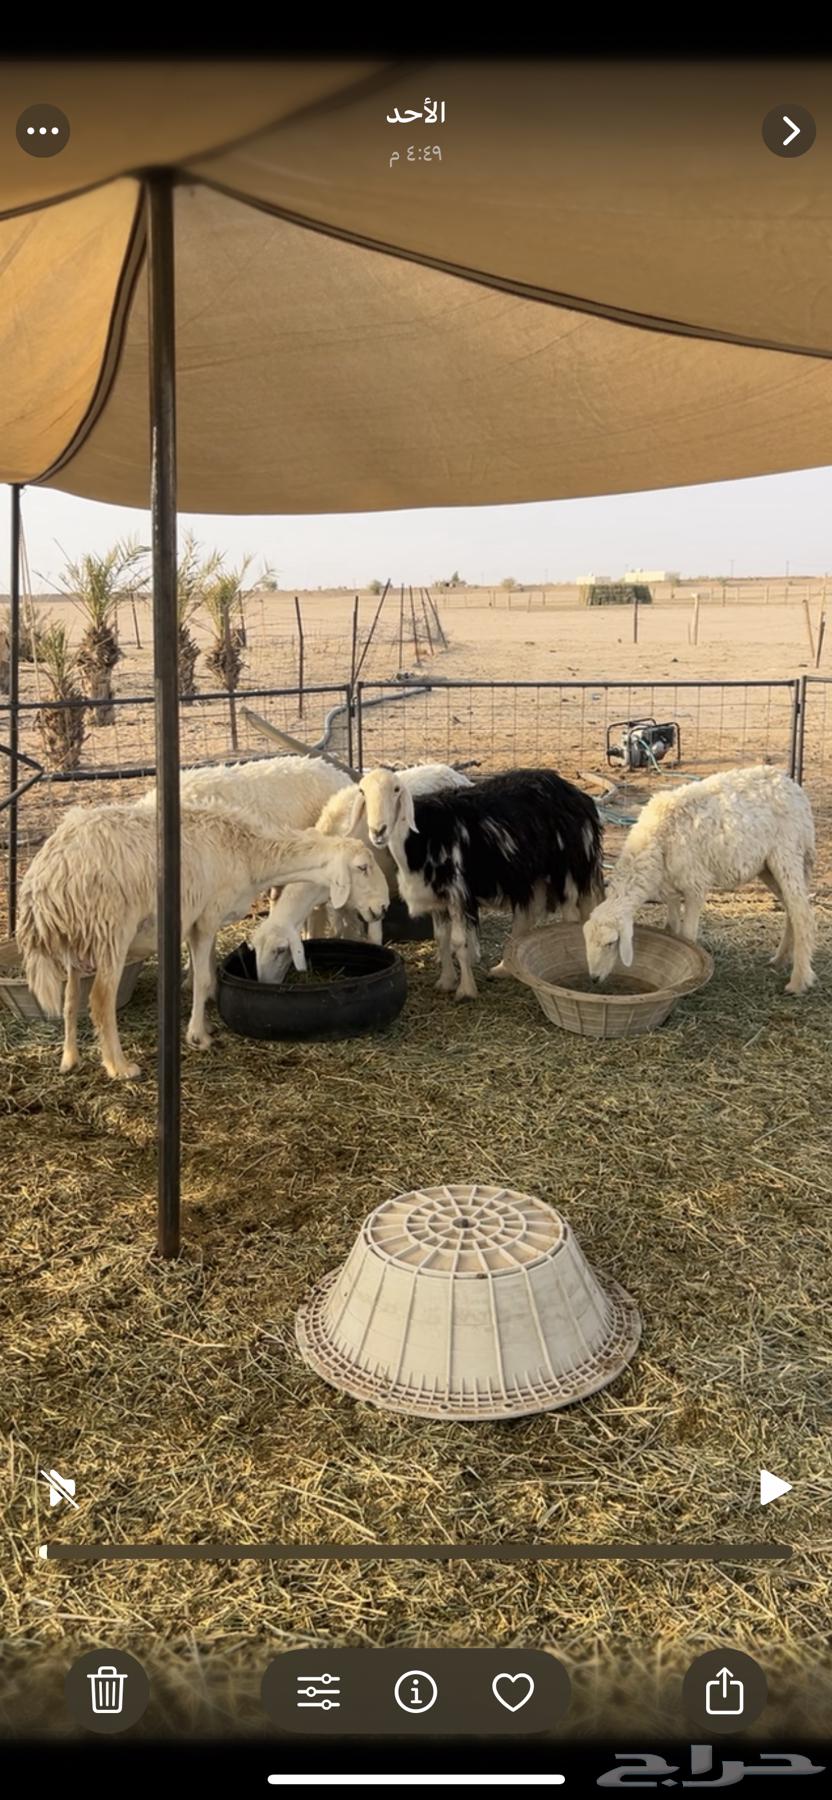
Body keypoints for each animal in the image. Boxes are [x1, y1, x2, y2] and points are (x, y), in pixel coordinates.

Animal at [17, 802, 385, 1079]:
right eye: (362, 867)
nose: (382, 907)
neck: (250, 855)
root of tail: (47, 877)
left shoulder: (199, 923)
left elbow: (203, 976)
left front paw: (204, 1026)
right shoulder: (208, 916)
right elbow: (205, 978)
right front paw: (198, 1037)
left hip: (75, 940)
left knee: (70, 998)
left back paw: (69, 1059)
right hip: (111, 931)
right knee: (99, 1000)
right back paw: (119, 1067)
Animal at [253, 762, 472, 983]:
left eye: (279, 950)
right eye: (255, 950)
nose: (263, 983)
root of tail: (452, 772)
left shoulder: (373, 897)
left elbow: (372, 936)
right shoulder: (337, 903)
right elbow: (339, 932)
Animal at [378, 766, 604, 1000]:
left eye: (395, 792)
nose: (378, 831)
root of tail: (579, 796)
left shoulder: (458, 893)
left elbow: (459, 942)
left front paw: (466, 991)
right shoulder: (436, 897)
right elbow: (441, 938)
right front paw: (446, 982)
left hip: (567, 873)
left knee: (570, 918)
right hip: (534, 877)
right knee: (526, 918)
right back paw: (504, 968)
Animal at [583, 765, 816, 995]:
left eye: (611, 943)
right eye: (586, 941)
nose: (593, 979)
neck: (654, 839)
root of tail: (794, 787)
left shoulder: (694, 884)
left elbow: (687, 936)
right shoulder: (670, 888)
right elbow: (671, 929)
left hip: (787, 853)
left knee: (802, 913)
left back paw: (798, 981)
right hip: (766, 866)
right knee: (791, 908)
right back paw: (781, 959)